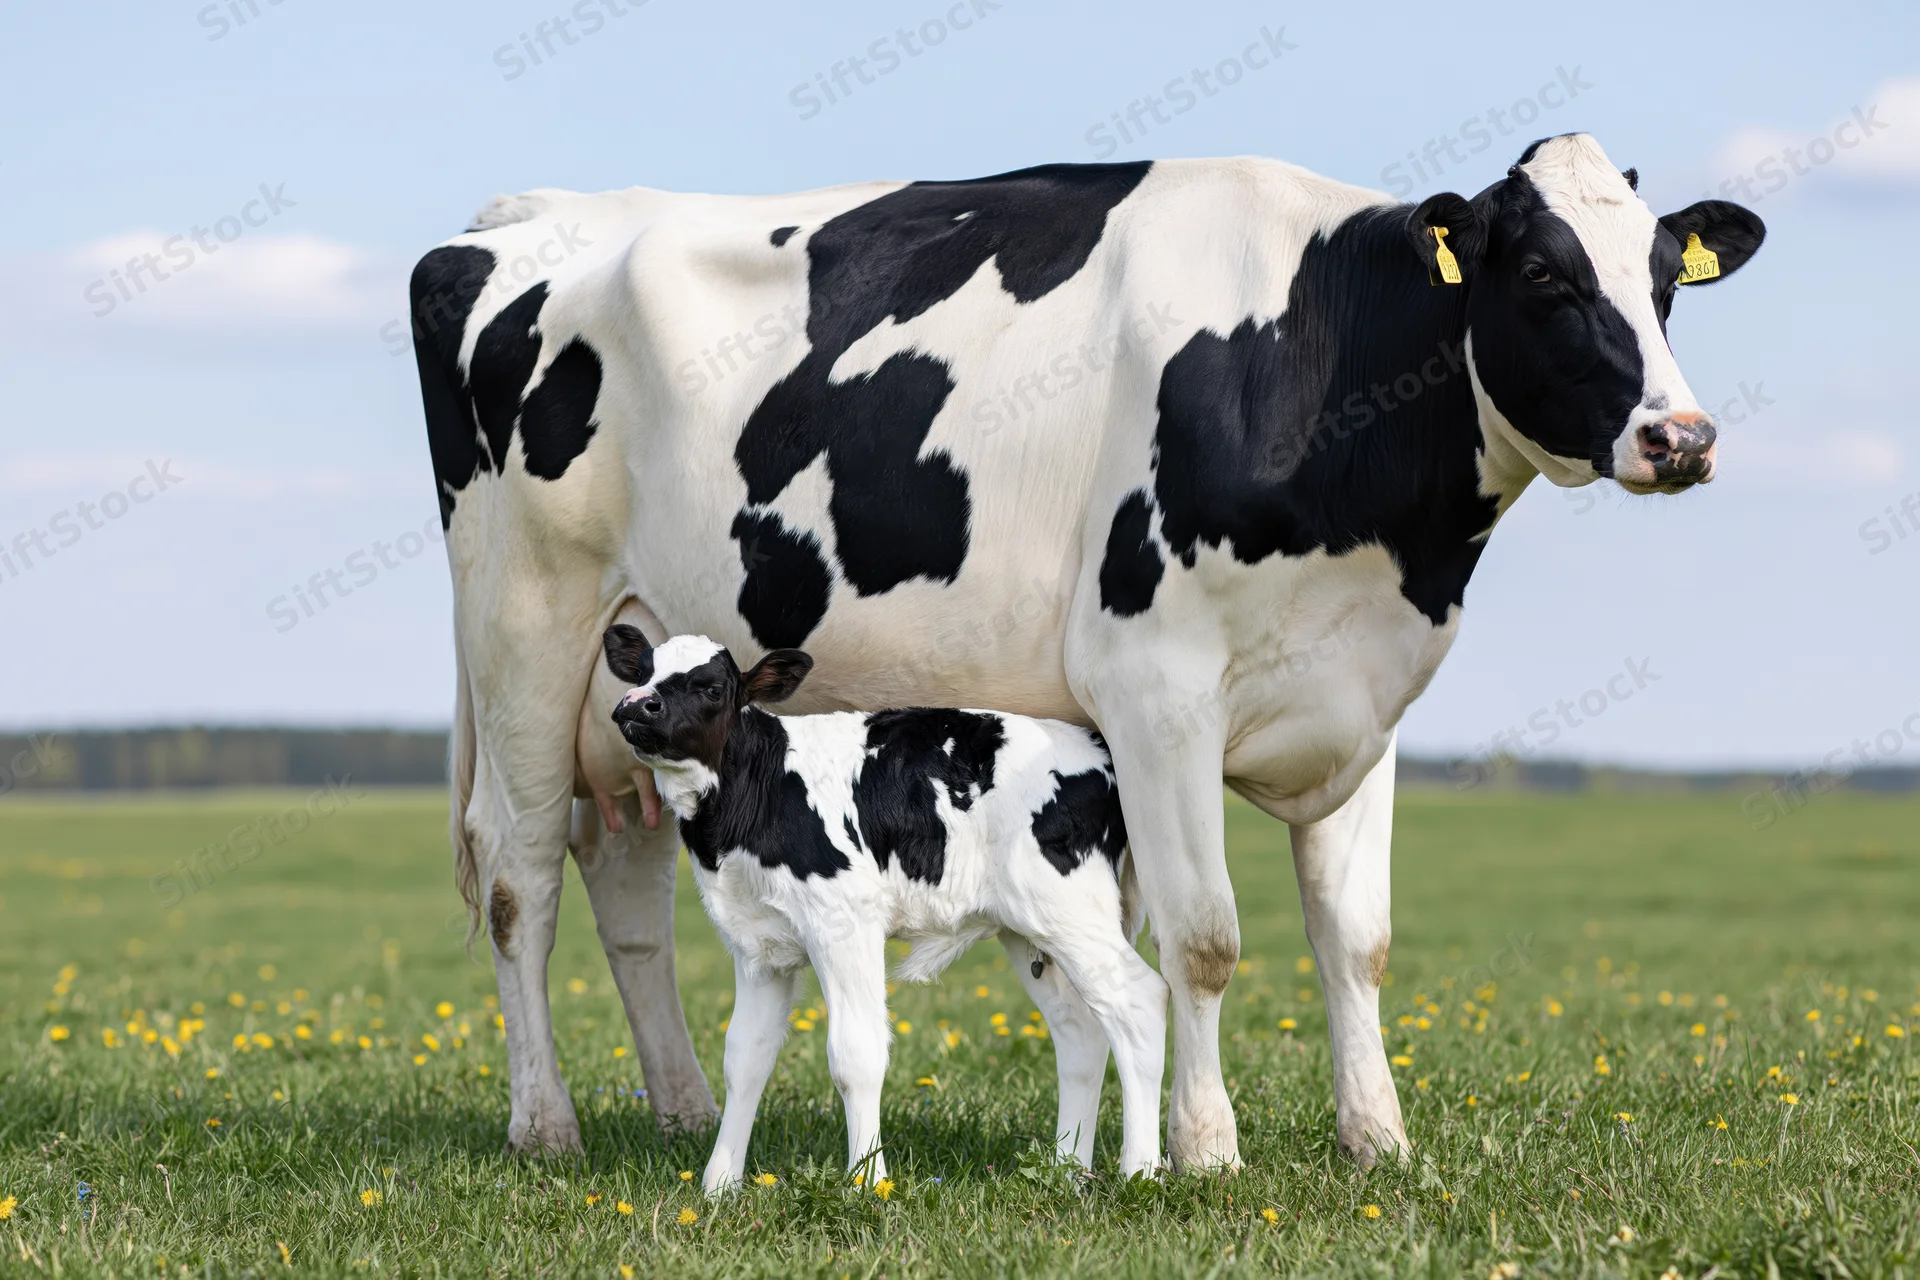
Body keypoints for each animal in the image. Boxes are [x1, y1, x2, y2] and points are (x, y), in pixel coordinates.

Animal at [599, 627, 1165, 1188]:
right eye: (641, 671)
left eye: (712, 688)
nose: (636, 704)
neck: (756, 794)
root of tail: (1098, 747)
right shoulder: (758, 945)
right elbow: (745, 1057)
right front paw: (719, 1185)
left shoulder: (844, 922)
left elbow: (857, 1056)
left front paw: (868, 1182)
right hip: (1030, 930)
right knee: (1081, 1029)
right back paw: (1066, 1170)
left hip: (1072, 909)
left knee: (1140, 1002)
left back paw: (1141, 1171)